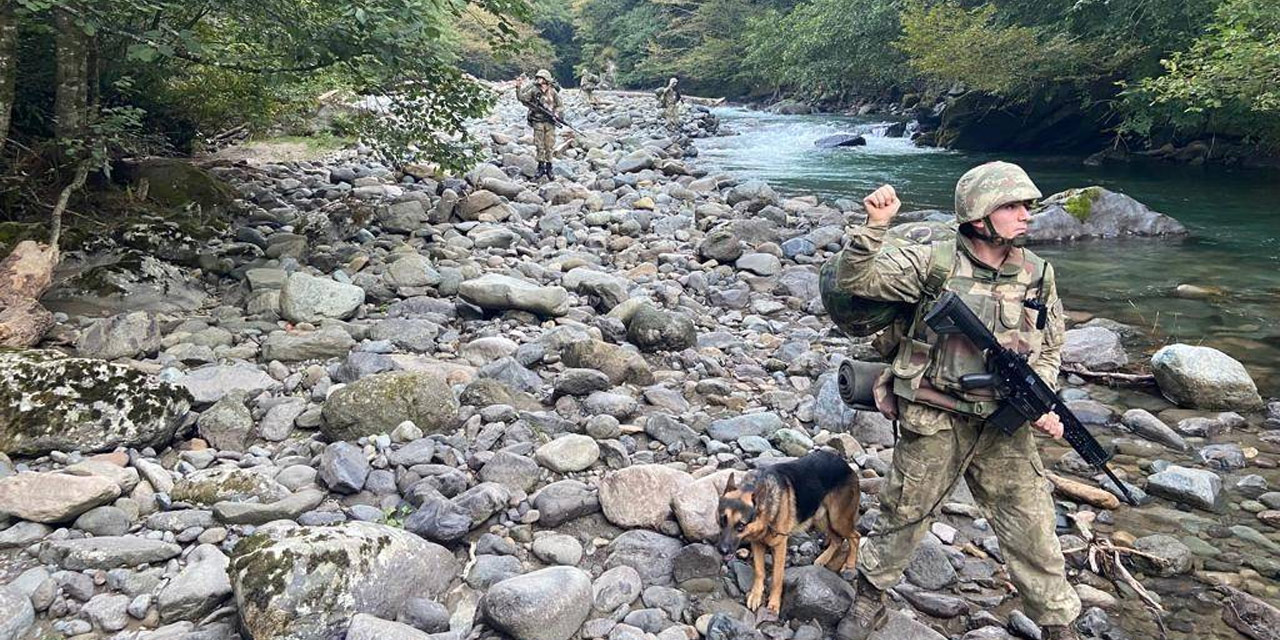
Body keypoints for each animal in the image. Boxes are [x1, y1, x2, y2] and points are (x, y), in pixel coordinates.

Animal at [721, 448, 860, 611]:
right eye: (722, 520)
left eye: (741, 526)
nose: (722, 550)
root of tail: (846, 465)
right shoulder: (757, 543)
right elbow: (760, 571)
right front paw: (756, 595)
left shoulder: (780, 546)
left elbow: (777, 577)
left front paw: (774, 603)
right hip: (820, 518)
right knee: (837, 540)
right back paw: (823, 558)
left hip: (838, 521)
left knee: (855, 536)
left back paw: (849, 564)